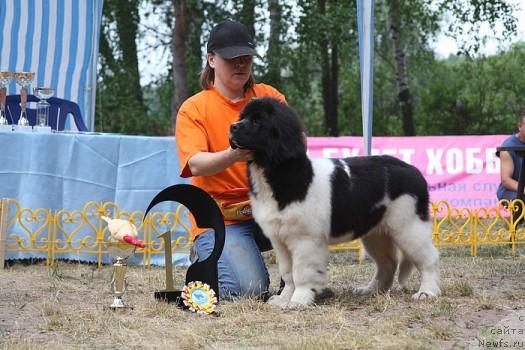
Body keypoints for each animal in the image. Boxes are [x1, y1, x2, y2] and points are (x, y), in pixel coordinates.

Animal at [229, 97, 438, 308]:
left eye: (257, 121)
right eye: (243, 117)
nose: (233, 127)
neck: (276, 172)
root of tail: (415, 171)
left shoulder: (305, 239)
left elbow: (301, 273)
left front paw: (299, 300)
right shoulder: (280, 240)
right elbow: (288, 273)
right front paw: (282, 300)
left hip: (409, 226)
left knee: (429, 258)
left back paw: (427, 292)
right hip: (376, 233)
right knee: (387, 263)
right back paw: (371, 290)